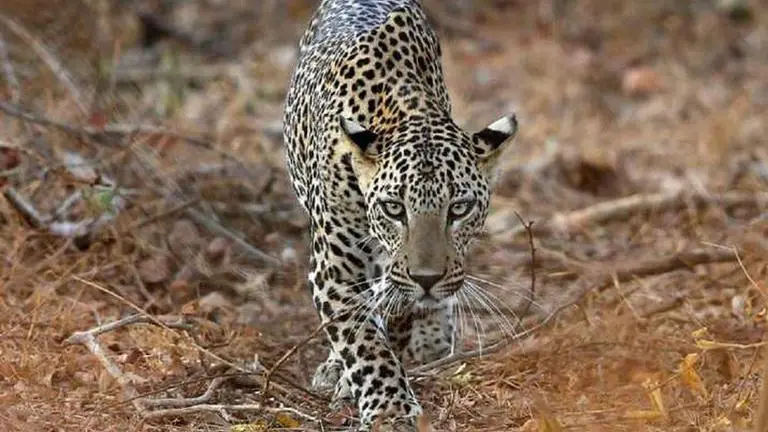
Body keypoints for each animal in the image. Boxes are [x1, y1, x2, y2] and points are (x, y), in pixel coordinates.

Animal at [282, 0, 518, 429]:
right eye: (394, 208)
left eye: (459, 208)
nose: (427, 279)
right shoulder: (334, 268)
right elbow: (363, 342)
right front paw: (389, 408)